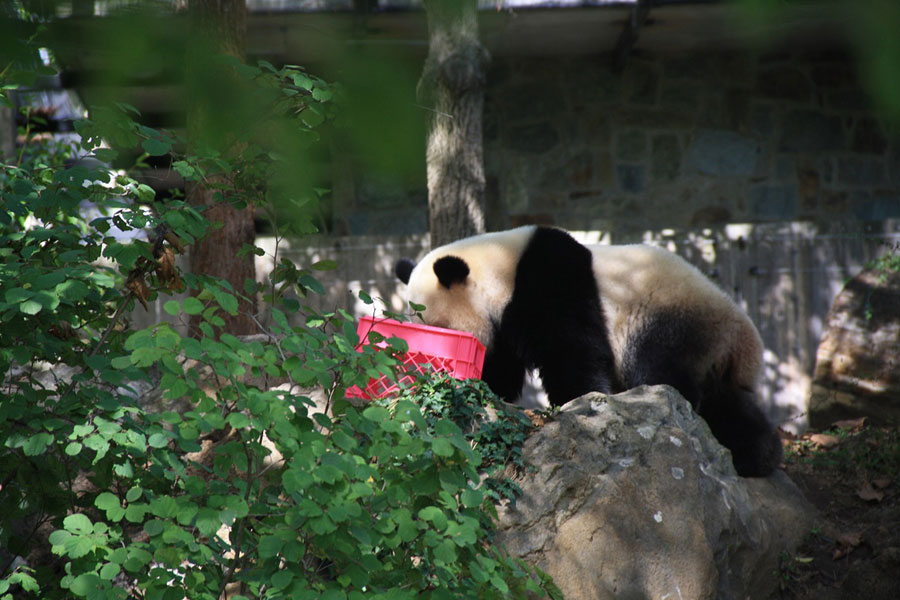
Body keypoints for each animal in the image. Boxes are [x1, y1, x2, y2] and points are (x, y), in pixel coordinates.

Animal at [394, 225, 780, 478]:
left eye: (435, 324)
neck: (500, 267)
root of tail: (743, 339)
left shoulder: (550, 282)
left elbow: (571, 347)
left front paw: (579, 400)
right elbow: (502, 363)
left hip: (668, 321)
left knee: (662, 372)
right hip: (712, 354)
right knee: (729, 406)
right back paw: (755, 457)